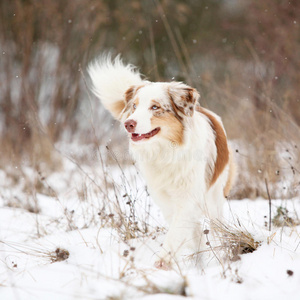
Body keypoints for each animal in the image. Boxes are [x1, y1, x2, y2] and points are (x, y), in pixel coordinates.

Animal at [88, 54, 236, 270]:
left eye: (155, 107)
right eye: (134, 106)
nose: (128, 123)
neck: (166, 151)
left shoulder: (189, 196)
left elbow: (177, 231)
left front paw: (163, 260)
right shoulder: (165, 199)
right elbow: (181, 228)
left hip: (214, 196)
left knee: (215, 224)